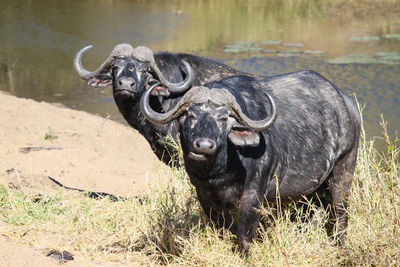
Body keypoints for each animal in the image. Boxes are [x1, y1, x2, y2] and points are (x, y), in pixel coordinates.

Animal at [141, 72, 362, 252]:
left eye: (224, 118)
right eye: (190, 115)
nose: (204, 145)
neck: (220, 172)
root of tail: (348, 106)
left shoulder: (253, 195)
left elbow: (244, 235)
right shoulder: (203, 194)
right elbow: (220, 228)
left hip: (344, 168)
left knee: (340, 210)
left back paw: (341, 244)